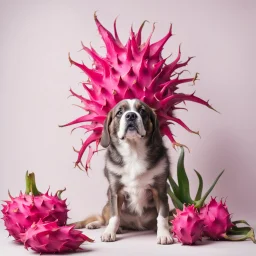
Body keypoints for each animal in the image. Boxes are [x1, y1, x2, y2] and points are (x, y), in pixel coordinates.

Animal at [72, 99, 174, 245]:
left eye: (142, 111)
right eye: (119, 112)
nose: (131, 115)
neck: (134, 152)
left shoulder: (159, 191)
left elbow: (162, 217)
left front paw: (164, 234)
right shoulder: (115, 192)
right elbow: (114, 217)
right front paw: (110, 232)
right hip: (107, 204)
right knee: (104, 218)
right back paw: (97, 224)